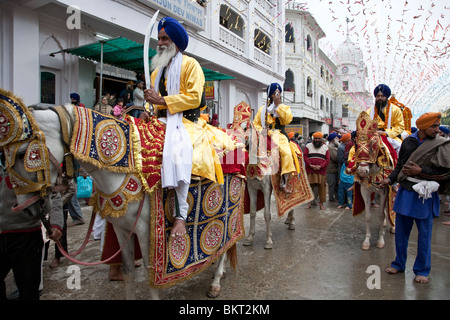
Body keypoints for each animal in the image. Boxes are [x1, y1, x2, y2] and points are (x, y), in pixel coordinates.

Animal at [7, 104, 236, 300]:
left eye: (22, 154)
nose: (27, 208)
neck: (124, 165)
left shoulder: (146, 231)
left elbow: (150, 273)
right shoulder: (121, 228)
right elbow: (128, 271)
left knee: (226, 242)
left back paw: (216, 281)